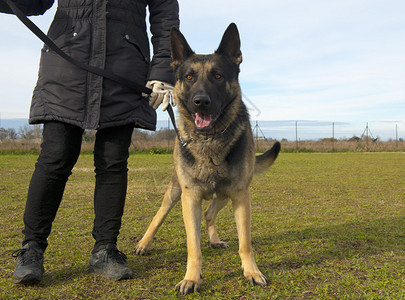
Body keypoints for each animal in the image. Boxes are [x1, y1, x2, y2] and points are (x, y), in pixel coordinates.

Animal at [134, 24, 280, 296]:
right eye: (189, 77)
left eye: (218, 76)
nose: (201, 102)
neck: (209, 141)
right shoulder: (189, 197)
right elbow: (193, 246)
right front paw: (191, 278)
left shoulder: (240, 195)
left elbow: (245, 243)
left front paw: (251, 272)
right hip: (175, 192)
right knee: (160, 215)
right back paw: (144, 243)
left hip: (223, 194)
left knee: (210, 214)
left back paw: (214, 240)